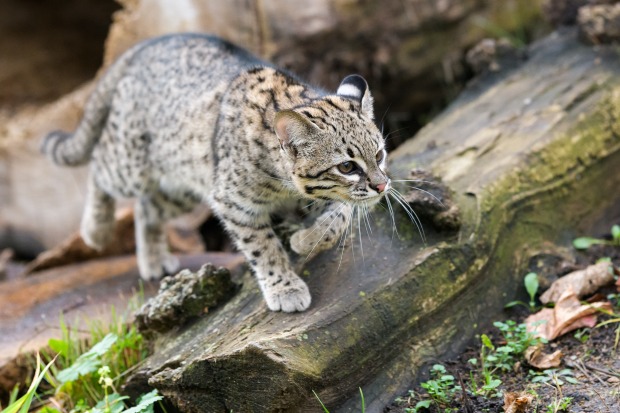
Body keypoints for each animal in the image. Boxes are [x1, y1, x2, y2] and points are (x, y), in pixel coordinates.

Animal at [43, 33, 392, 312]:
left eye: (379, 154)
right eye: (347, 166)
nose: (382, 186)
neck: (285, 183)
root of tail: (151, 43)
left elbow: (339, 218)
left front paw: (305, 240)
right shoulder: (233, 202)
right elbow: (262, 246)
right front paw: (284, 286)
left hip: (185, 184)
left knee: (146, 207)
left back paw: (153, 259)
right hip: (131, 165)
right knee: (99, 166)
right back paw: (97, 230)